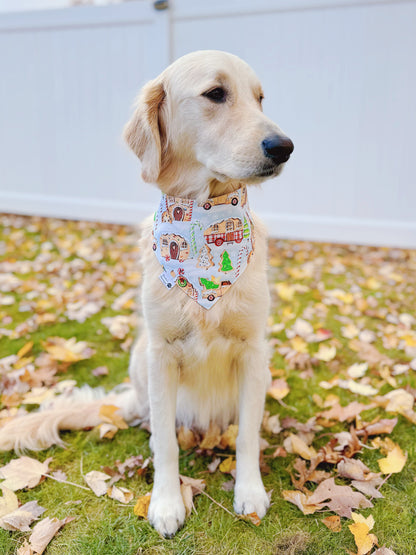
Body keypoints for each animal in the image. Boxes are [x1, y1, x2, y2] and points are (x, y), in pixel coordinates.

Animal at [0, 51, 292, 540]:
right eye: (216, 93)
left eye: (260, 98)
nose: (284, 146)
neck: (203, 219)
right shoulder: (161, 352)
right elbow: (166, 444)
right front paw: (167, 503)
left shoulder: (254, 350)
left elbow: (248, 435)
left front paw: (249, 492)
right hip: (141, 358)